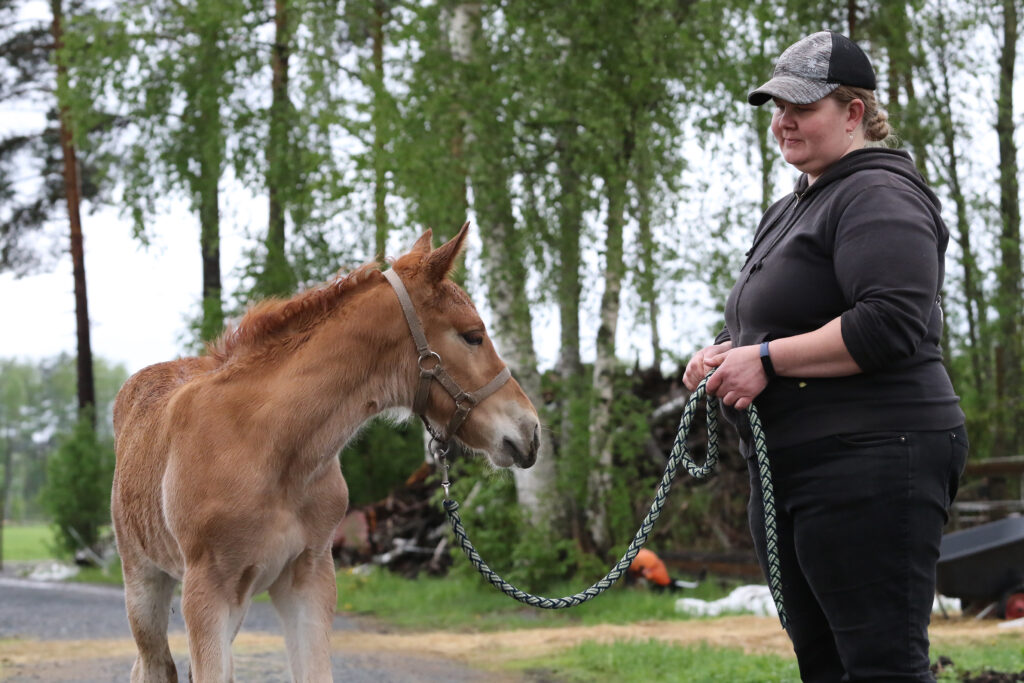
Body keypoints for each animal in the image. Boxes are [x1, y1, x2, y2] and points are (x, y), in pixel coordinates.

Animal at [111, 223, 540, 679]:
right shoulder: (207, 588)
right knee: (153, 664)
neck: (271, 449)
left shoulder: (309, 576)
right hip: (144, 580)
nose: (530, 431)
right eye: (473, 335)